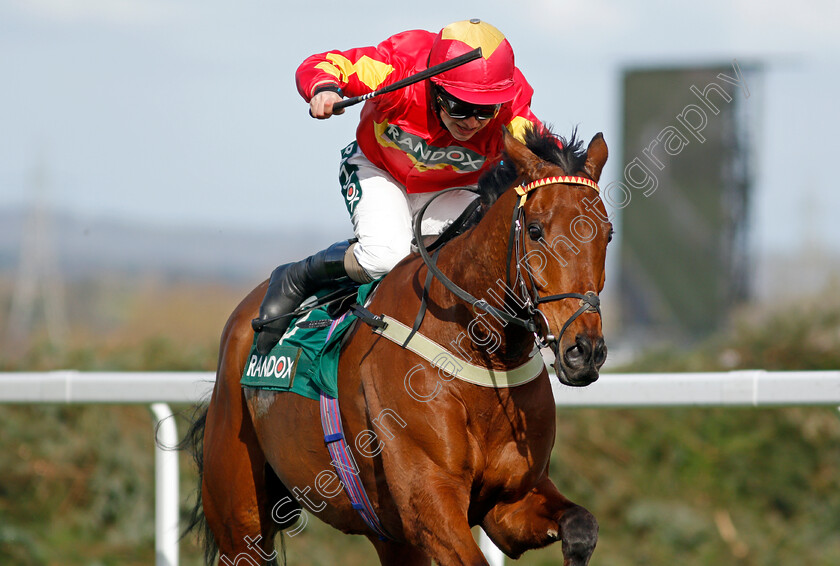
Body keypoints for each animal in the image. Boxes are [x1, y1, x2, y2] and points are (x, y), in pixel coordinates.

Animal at [185, 129, 612, 566]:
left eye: (608, 232)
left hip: (391, 537)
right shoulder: (429, 500)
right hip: (240, 519)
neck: (481, 354)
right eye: (536, 230)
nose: (584, 350)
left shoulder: (509, 501)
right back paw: (285, 285)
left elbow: (582, 526)